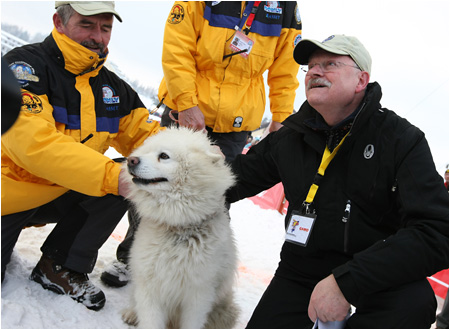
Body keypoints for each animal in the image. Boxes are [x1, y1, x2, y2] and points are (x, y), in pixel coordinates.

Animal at [119, 126, 239, 328]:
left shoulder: (198, 295)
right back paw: (131, 314)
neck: (178, 228)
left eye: (164, 156)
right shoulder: (149, 286)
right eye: (146, 151)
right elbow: (150, 321)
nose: (131, 160)